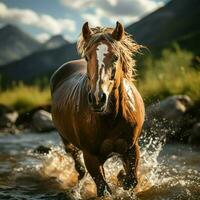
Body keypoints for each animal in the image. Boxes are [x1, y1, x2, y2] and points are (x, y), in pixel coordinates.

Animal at [49, 21, 144, 197]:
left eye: (116, 57)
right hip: (67, 141)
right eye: (87, 57)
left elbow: (131, 181)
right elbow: (103, 189)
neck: (112, 118)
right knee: (79, 167)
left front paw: (121, 178)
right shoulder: (91, 157)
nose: (98, 99)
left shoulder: (132, 149)